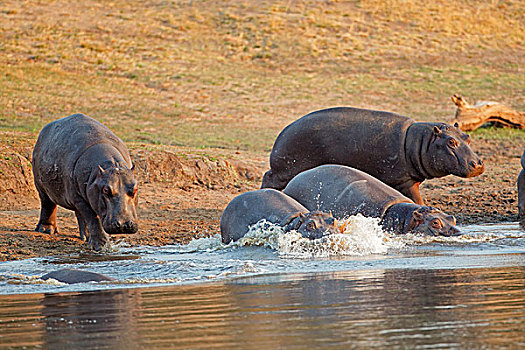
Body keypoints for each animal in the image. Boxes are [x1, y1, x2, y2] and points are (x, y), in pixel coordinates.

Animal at [32, 113, 139, 250]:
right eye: (106, 190)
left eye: (135, 189)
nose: (124, 225)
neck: (111, 165)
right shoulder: (79, 199)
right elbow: (92, 218)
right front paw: (100, 246)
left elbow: (89, 218)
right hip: (42, 187)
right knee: (48, 204)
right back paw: (46, 230)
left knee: (79, 215)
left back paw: (85, 237)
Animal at [260, 106, 484, 205]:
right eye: (451, 142)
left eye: (467, 137)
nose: (478, 164)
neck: (421, 141)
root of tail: (283, 132)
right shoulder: (405, 181)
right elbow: (417, 200)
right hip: (285, 170)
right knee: (268, 178)